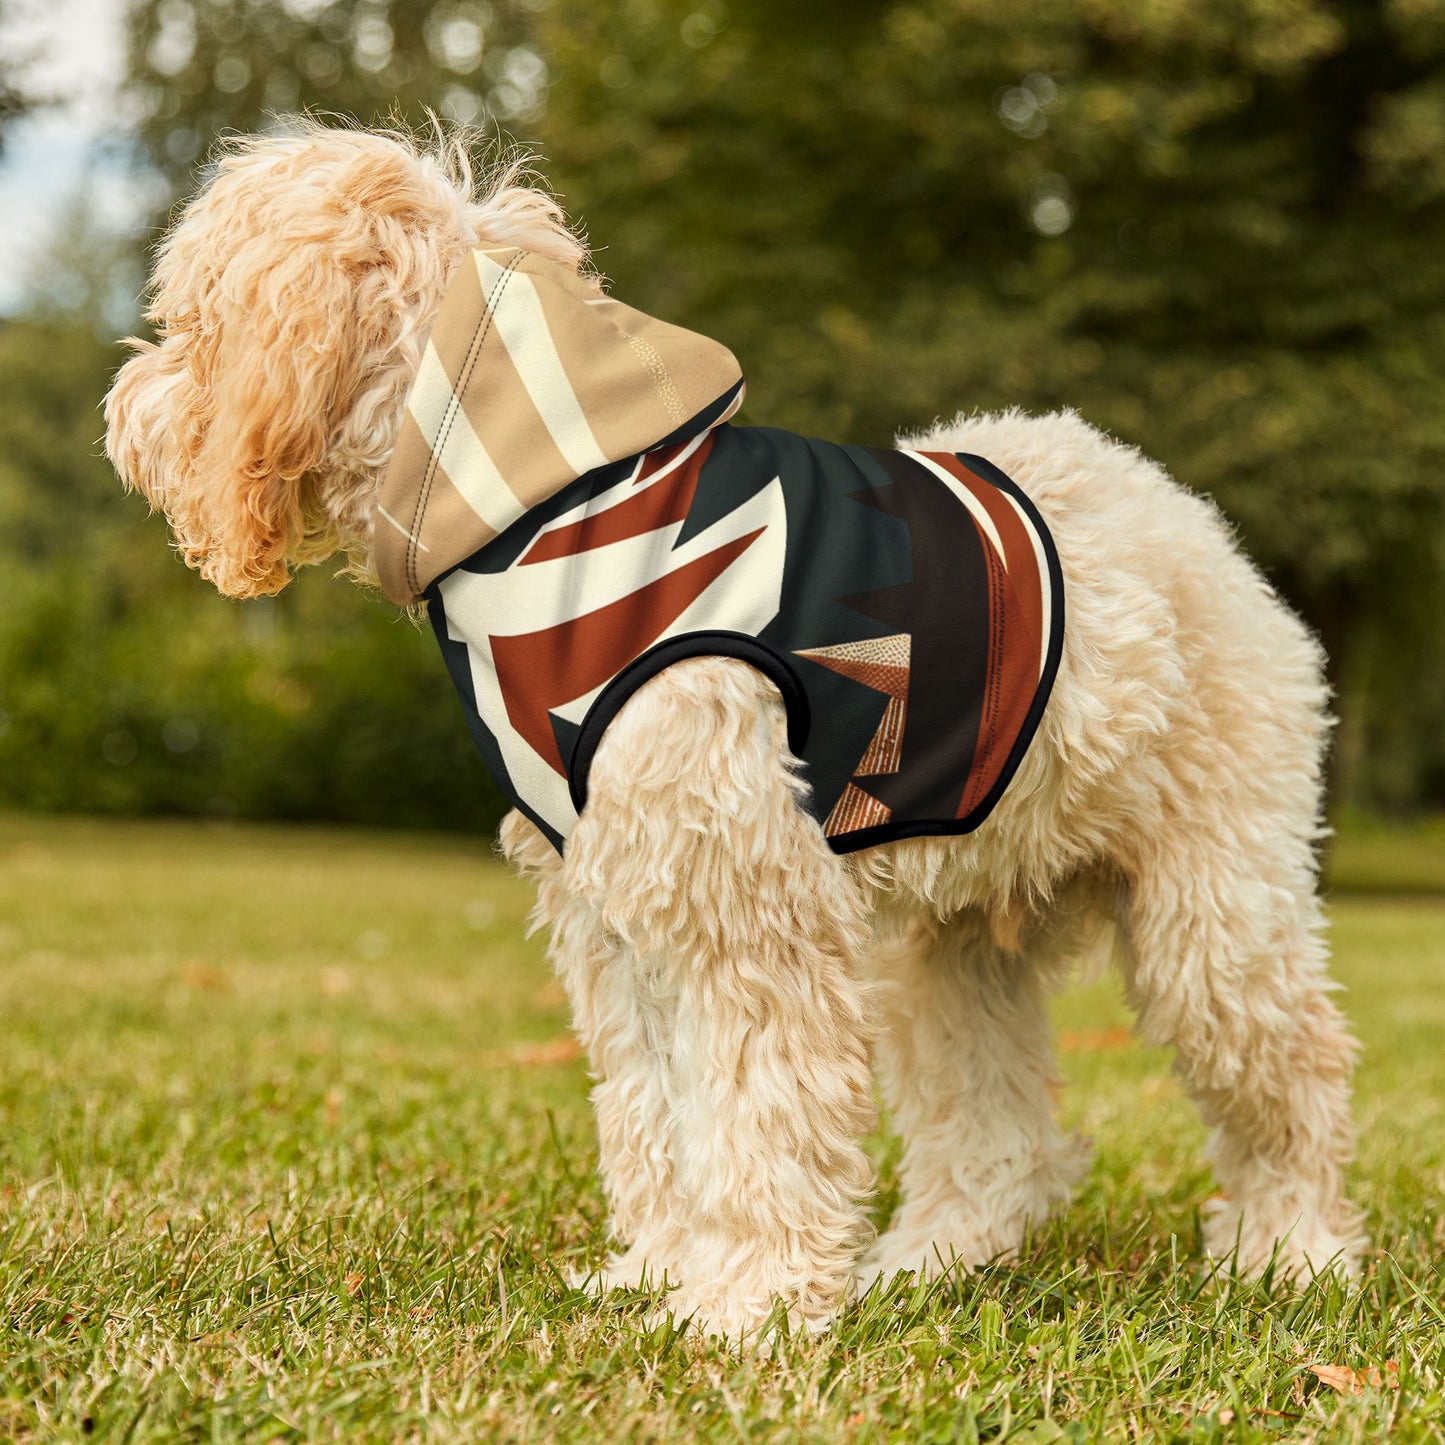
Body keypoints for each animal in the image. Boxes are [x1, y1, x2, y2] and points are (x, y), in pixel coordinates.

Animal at [104, 124, 1364, 1340]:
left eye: (191, 318)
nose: (123, 408)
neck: (546, 503)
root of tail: (1187, 519)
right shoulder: (618, 911)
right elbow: (656, 1112)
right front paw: (662, 1272)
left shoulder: (744, 904)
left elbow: (758, 1113)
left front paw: (747, 1303)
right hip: (948, 948)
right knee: (995, 1134)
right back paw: (930, 1260)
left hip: (1212, 916)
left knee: (1293, 1076)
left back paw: (1290, 1251)